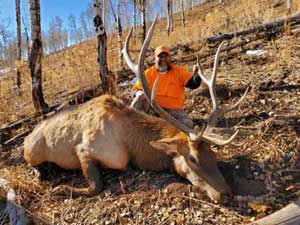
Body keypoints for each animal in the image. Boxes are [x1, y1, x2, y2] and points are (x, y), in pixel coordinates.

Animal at [22, 16, 248, 201]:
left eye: (213, 155)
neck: (131, 143)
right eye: (192, 158)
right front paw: (60, 190)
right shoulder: (86, 150)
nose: (225, 193)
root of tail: (27, 136)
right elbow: (96, 186)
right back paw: (42, 172)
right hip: (31, 152)